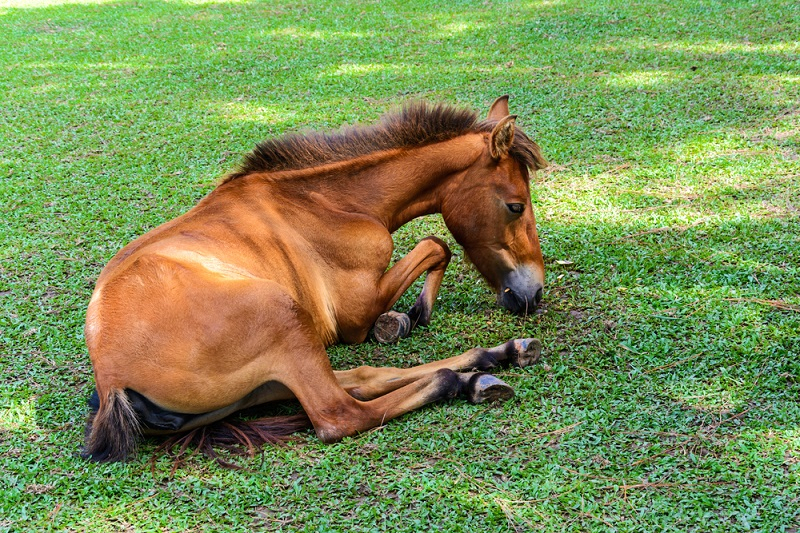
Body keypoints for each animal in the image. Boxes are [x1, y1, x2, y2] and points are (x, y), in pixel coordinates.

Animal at [84, 95, 552, 462]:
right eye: (515, 206)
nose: (533, 294)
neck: (326, 202)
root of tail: (111, 382)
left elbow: (436, 248)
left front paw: (406, 317)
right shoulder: (355, 314)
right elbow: (436, 245)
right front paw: (412, 314)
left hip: (274, 376)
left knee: (364, 378)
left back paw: (496, 357)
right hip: (283, 317)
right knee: (342, 413)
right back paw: (464, 379)